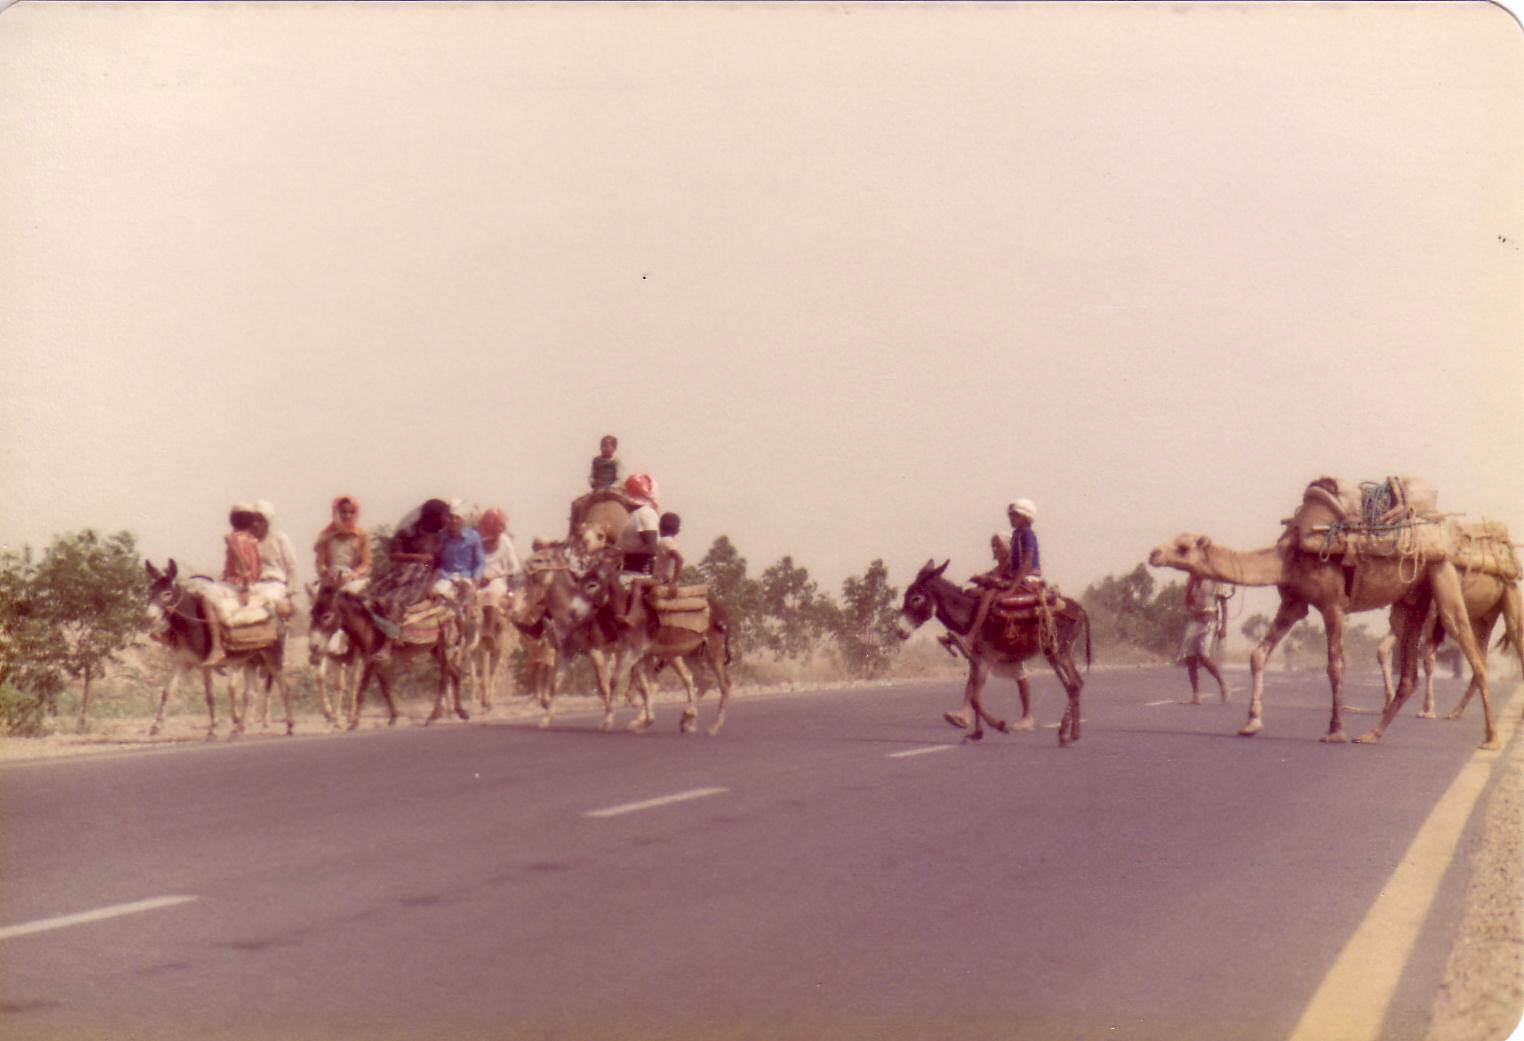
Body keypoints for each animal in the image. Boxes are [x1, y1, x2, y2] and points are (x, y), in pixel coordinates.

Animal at [1146, 536, 1493, 749]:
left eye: (1183, 546)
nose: (1153, 553)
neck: (1287, 559)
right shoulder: (1294, 603)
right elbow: (1258, 655)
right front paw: (1251, 723)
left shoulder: (1333, 605)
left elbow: (1335, 666)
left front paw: (1335, 730)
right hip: (1414, 597)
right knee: (1410, 671)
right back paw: (1371, 734)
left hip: (1441, 574)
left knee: (1466, 641)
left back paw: (1490, 737)